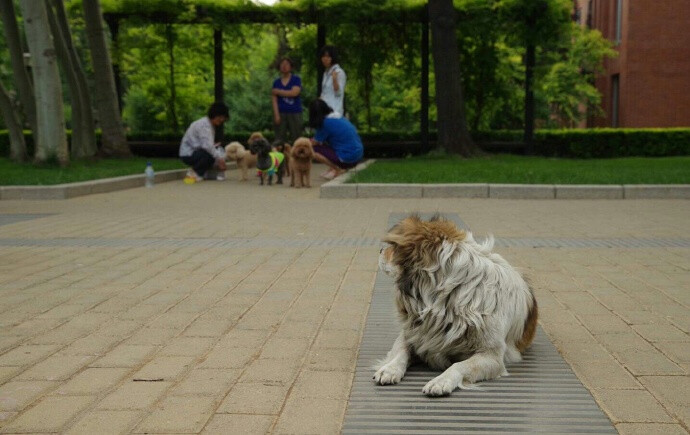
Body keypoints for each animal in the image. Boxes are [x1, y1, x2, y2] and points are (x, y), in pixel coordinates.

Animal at [370, 216, 536, 396]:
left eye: (394, 247)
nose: (380, 250)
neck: (446, 296)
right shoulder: (412, 333)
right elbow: (400, 351)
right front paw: (390, 369)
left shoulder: (492, 356)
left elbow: (459, 365)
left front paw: (441, 381)